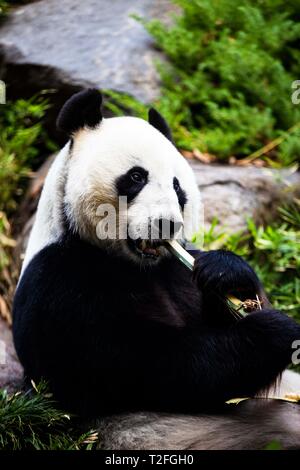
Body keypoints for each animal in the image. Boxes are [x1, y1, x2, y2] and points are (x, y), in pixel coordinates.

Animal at [12, 89, 300, 452]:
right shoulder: (59, 282)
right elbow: (148, 366)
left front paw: (228, 274)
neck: (137, 265)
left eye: (178, 187)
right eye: (136, 177)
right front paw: (273, 333)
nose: (167, 224)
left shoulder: (176, 271)